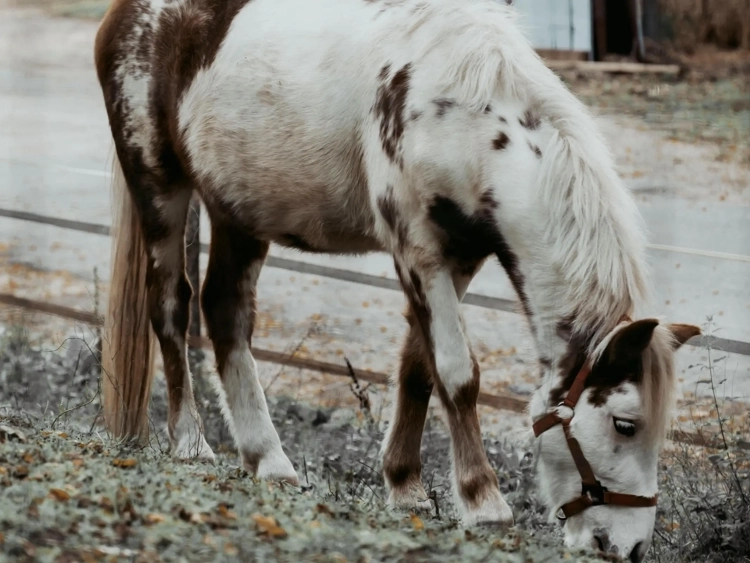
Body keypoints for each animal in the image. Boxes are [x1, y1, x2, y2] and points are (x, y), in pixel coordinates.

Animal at [93, 0, 701, 559]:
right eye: (625, 424)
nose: (628, 548)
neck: (466, 113)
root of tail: (125, 15)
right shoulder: (419, 252)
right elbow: (457, 374)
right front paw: (483, 502)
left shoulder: (458, 258)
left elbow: (418, 369)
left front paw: (405, 485)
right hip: (160, 186)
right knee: (171, 308)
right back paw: (191, 443)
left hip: (238, 214)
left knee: (225, 315)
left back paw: (269, 460)